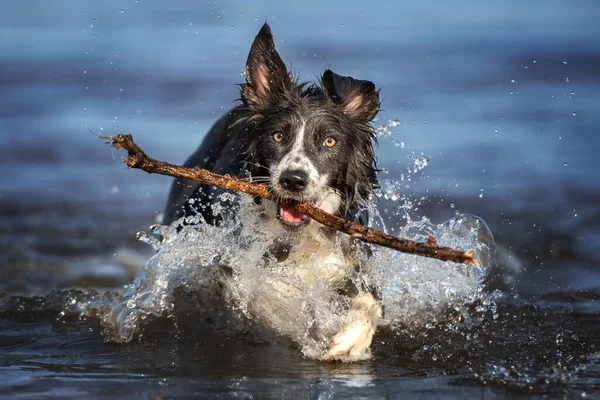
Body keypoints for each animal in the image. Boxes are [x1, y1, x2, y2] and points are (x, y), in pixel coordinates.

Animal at [162, 25, 382, 362]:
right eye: (278, 136)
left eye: (329, 141)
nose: (294, 180)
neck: (299, 240)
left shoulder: (351, 258)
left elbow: (370, 302)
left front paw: (350, 340)